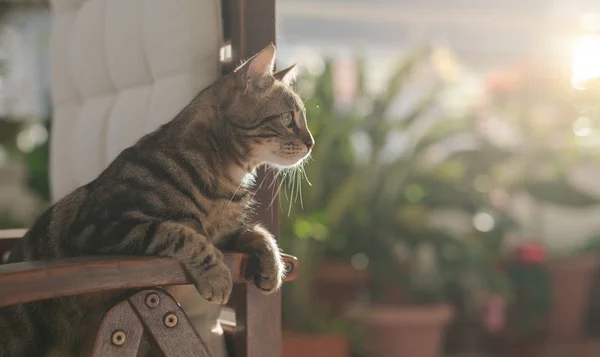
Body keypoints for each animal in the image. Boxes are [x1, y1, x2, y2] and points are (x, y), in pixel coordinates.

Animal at [0, 43, 312, 356]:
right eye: (288, 119)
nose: (311, 143)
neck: (224, 180)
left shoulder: (226, 234)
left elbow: (258, 232)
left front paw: (274, 265)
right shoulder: (100, 228)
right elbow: (178, 233)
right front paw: (217, 275)